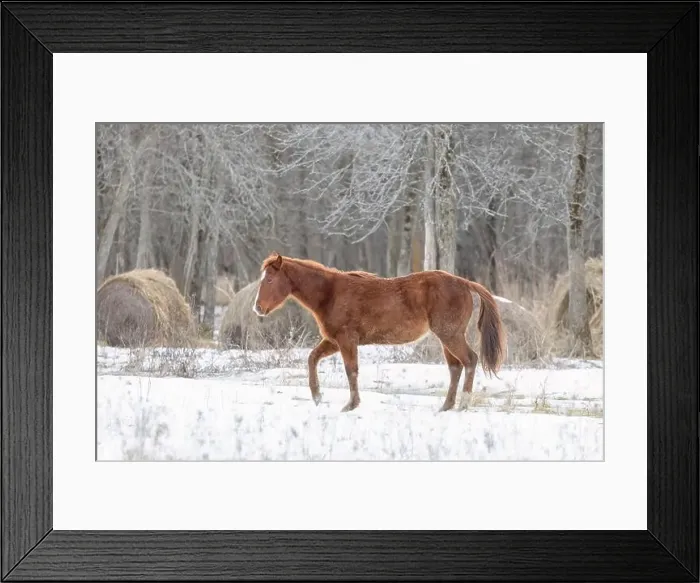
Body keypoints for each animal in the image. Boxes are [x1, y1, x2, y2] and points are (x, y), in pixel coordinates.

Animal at [253, 252, 506, 413]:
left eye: (270, 279)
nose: (257, 308)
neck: (331, 293)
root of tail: (464, 283)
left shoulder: (346, 340)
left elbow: (351, 371)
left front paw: (350, 405)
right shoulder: (333, 341)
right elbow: (312, 358)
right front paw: (317, 397)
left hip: (450, 335)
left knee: (470, 360)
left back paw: (463, 404)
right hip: (447, 338)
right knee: (455, 368)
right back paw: (446, 406)